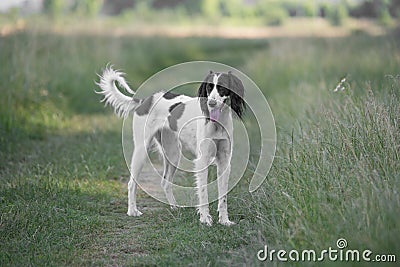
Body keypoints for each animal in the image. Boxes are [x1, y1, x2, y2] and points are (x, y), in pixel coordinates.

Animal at [97, 66, 245, 226]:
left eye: (222, 88)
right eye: (208, 87)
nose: (211, 103)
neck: (217, 123)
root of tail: (145, 100)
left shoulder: (224, 162)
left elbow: (223, 197)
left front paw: (224, 220)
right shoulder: (202, 161)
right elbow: (203, 192)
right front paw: (205, 218)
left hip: (173, 154)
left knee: (165, 183)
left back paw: (174, 207)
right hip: (141, 151)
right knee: (131, 184)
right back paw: (132, 211)